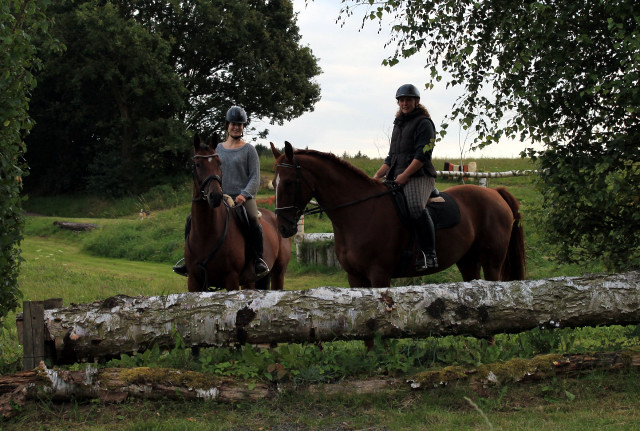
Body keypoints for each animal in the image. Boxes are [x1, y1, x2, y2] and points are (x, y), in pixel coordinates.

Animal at [184, 135, 292, 290]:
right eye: (197, 164)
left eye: (219, 163)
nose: (215, 196)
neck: (207, 233)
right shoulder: (194, 281)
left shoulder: (231, 279)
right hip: (250, 281)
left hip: (278, 273)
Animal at [270, 142, 524, 288]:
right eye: (274, 183)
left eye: (289, 182)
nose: (282, 228)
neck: (359, 212)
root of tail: (495, 193)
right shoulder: (355, 277)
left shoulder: (379, 276)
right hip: (467, 259)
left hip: (492, 262)